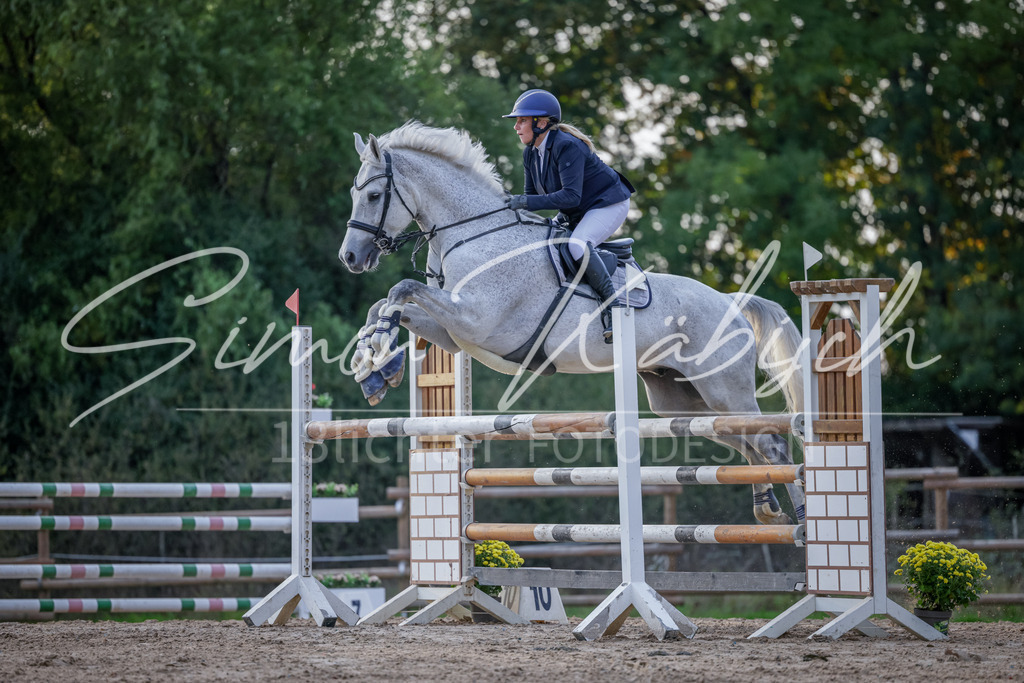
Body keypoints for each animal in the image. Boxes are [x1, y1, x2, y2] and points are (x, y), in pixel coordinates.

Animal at [339, 121, 806, 525]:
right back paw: (768, 509)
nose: (350, 257)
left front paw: (377, 357)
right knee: (743, 440)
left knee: (770, 441)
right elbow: (387, 304)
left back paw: (800, 520)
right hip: (681, 401)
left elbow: (400, 289)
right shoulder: (454, 337)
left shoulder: (476, 321)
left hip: (724, 388)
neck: (476, 235)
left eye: (375, 195)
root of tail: (729, 300)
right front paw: (373, 368)